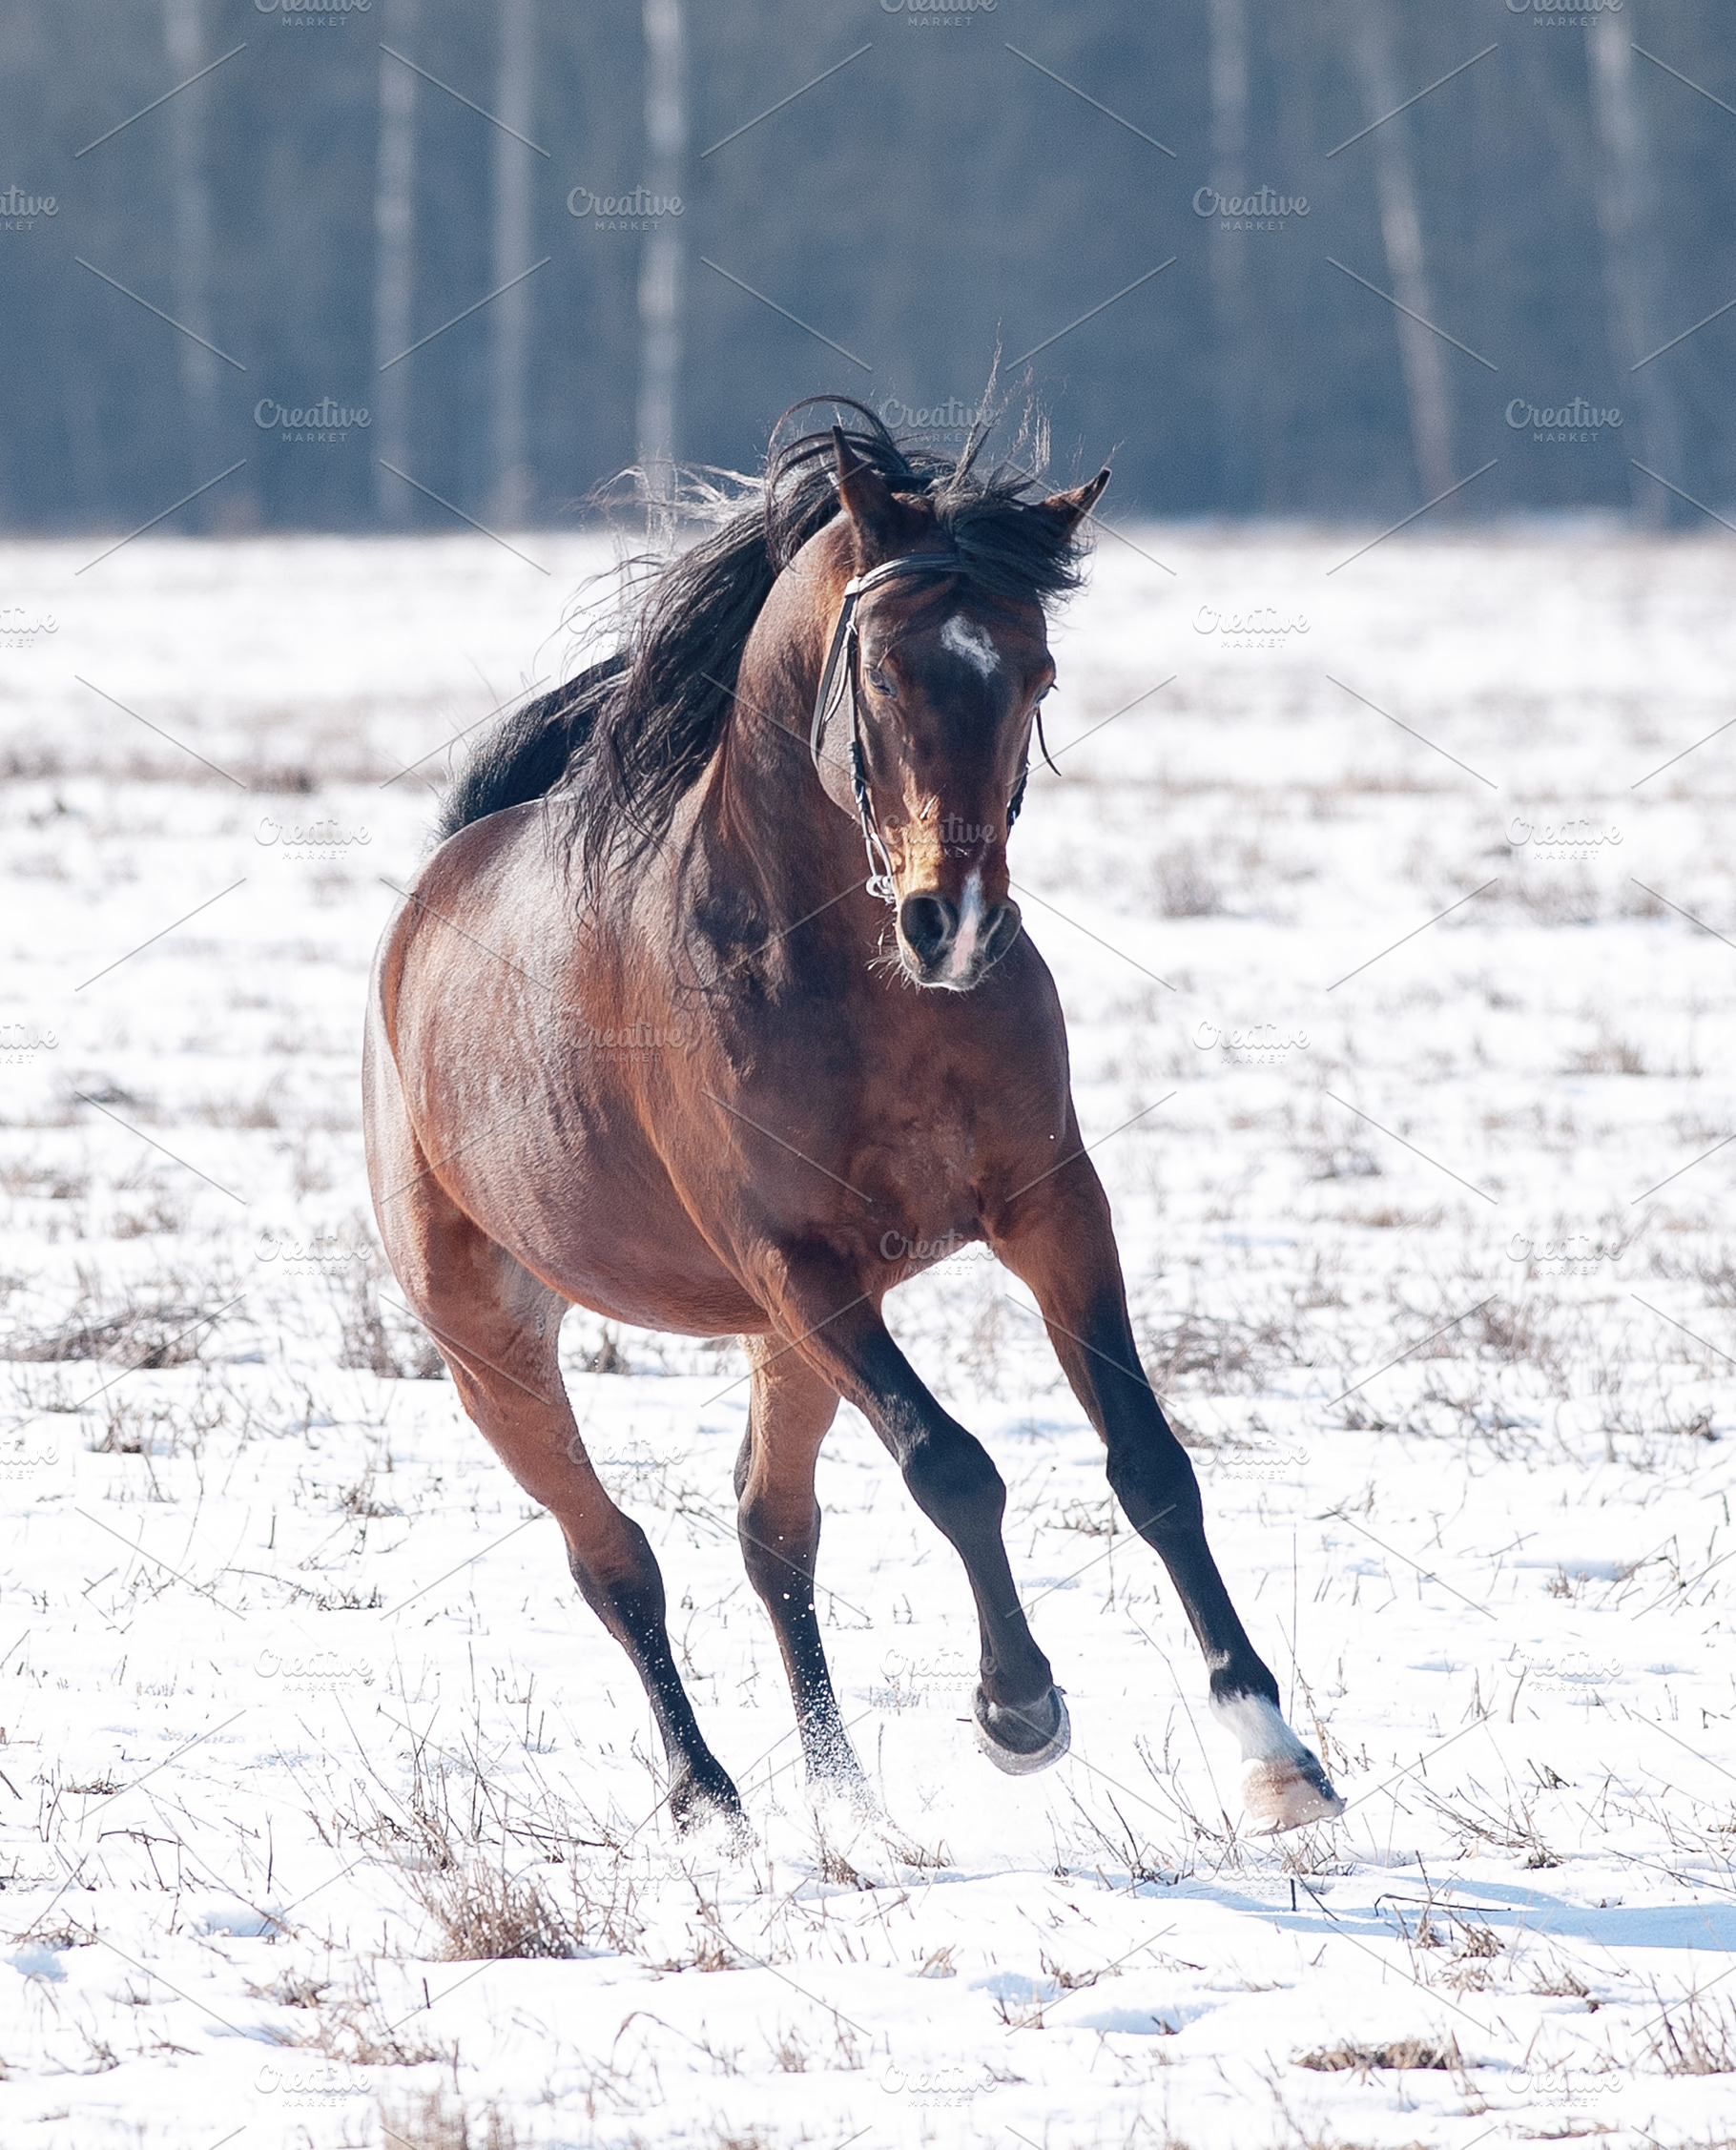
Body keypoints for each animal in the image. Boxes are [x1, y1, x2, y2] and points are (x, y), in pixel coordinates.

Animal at [362, 402, 1344, 1837]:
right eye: (880, 670)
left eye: (1038, 673)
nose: (957, 921)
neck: (863, 985)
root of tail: (426, 910)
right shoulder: (794, 1259)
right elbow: (952, 1465)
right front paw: (1018, 1710)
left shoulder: (1050, 1205)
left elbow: (1151, 1462)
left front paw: (1275, 1752)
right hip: (491, 1339)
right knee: (614, 1558)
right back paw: (709, 1793)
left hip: (783, 1341)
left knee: (769, 1534)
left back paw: (843, 1796)